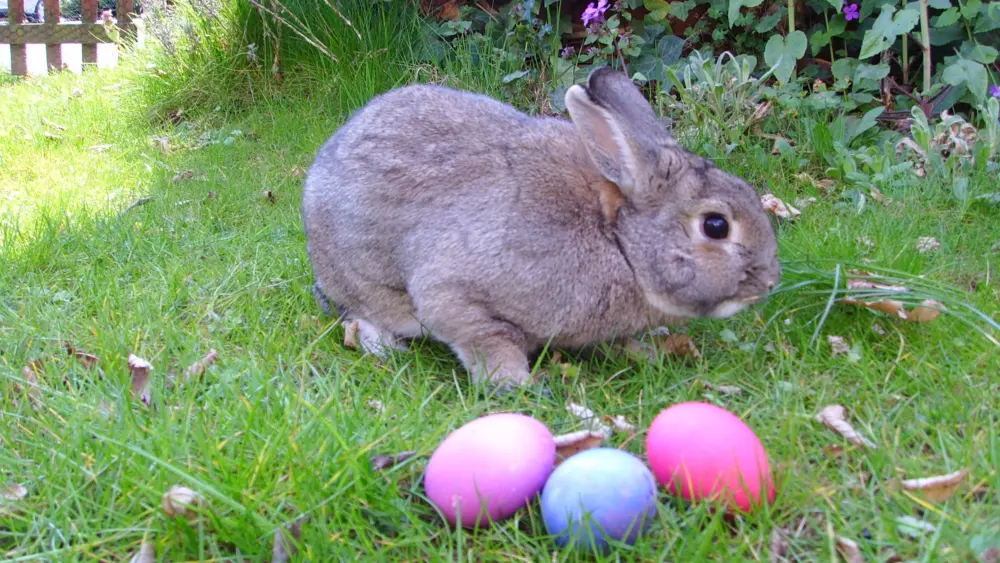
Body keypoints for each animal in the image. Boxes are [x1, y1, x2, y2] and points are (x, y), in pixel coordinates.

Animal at [302, 67, 780, 388]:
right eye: (715, 226)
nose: (770, 281)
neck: (620, 244)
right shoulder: (457, 293)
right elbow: (484, 337)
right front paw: (515, 384)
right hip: (364, 284)